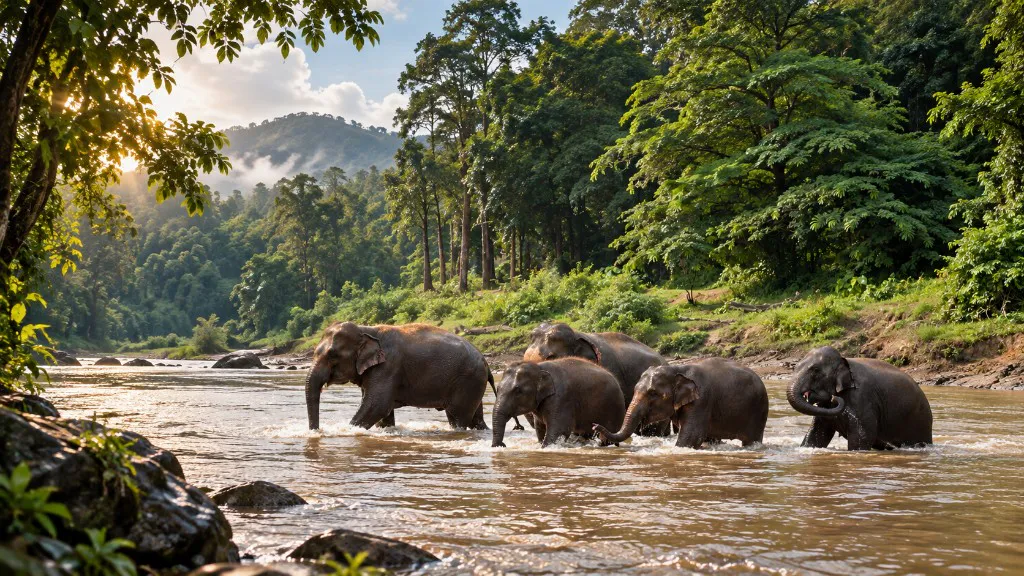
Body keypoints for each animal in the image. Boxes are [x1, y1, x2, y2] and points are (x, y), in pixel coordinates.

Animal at [305, 322, 500, 431]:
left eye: (332, 355)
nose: (316, 431)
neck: (367, 329)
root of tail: (486, 362)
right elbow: (382, 411)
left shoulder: (388, 367)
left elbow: (377, 405)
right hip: (474, 382)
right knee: (476, 417)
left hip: (467, 381)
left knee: (457, 417)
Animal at [492, 358, 625, 448]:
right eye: (498, 389)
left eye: (518, 391)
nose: (502, 445)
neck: (539, 367)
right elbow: (540, 428)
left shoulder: (561, 399)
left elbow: (560, 430)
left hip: (614, 409)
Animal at [594, 358, 769, 449]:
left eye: (653, 393)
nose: (595, 426)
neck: (677, 369)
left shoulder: (702, 400)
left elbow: (692, 436)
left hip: (758, 411)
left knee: (751, 440)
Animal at [786, 346, 933, 450]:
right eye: (795, 367)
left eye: (816, 370)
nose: (834, 399)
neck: (844, 360)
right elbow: (817, 434)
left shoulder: (862, 397)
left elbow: (862, 436)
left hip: (919, 422)